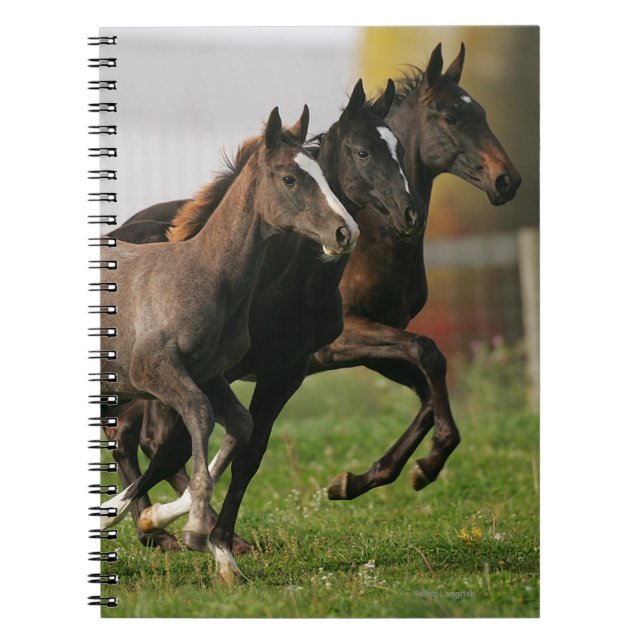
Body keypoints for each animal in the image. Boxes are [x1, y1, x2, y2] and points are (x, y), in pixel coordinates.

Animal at [101, 79, 424, 564]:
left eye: (401, 149)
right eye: (363, 152)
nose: (409, 214)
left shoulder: (285, 372)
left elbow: (246, 449)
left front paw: (211, 537)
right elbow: (179, 445)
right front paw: (181, 525)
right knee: (136, 439)